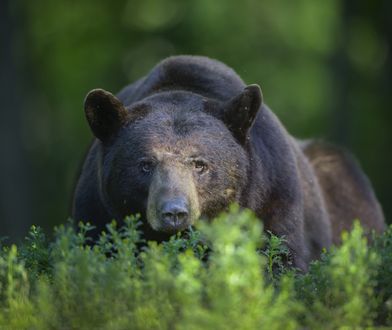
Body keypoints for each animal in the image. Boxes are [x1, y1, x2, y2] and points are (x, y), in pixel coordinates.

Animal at [72, 54, 384, 270]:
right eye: (145, 164)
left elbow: (280, 258)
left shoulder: (274, 195)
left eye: (200, 164)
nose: (174, 212)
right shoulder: (97, 209)